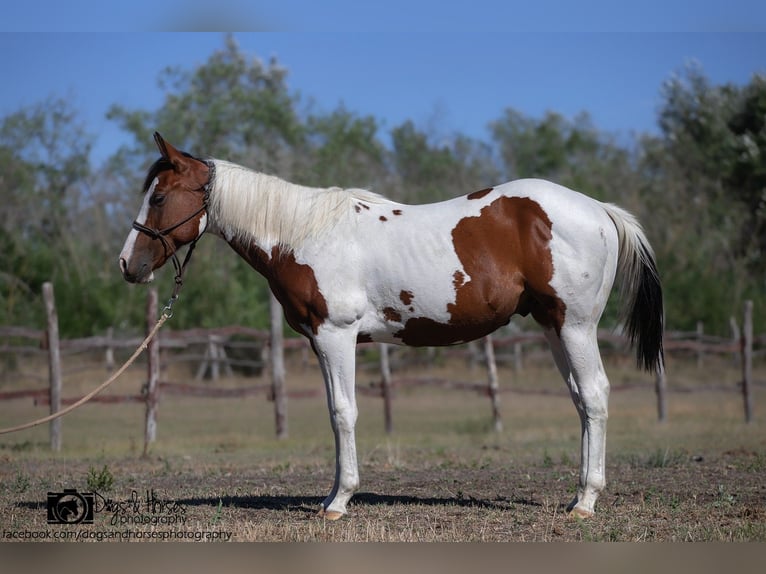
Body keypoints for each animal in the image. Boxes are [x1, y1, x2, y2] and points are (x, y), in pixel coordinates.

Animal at [119, 133, 664, 520]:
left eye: (160, 197)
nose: (128, 264)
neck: (305, 234)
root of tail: (600, 210)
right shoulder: (322, 342)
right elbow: (335, 413)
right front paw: (330, 496)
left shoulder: (336, 336)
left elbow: (344, 413)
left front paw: (340, 503)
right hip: (553, 327)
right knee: (580, 401)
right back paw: (576, 495)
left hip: (575, 326)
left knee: (594, 394)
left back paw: (586, 501)